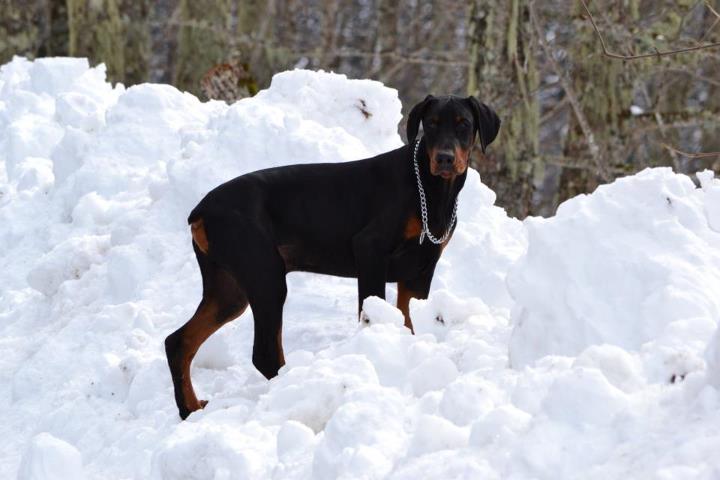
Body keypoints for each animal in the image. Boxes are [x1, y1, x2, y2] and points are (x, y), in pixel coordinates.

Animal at [165, 95, 498, 418]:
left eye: (464, 124)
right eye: (431, 124)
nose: (444, 158)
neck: (431, 190)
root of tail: (201, 210)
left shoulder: (421, 270)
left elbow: (408, 318)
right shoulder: (370, 250)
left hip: (229, 289)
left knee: (178, 341)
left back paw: (189, 408)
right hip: (265, 276)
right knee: (264, 353)